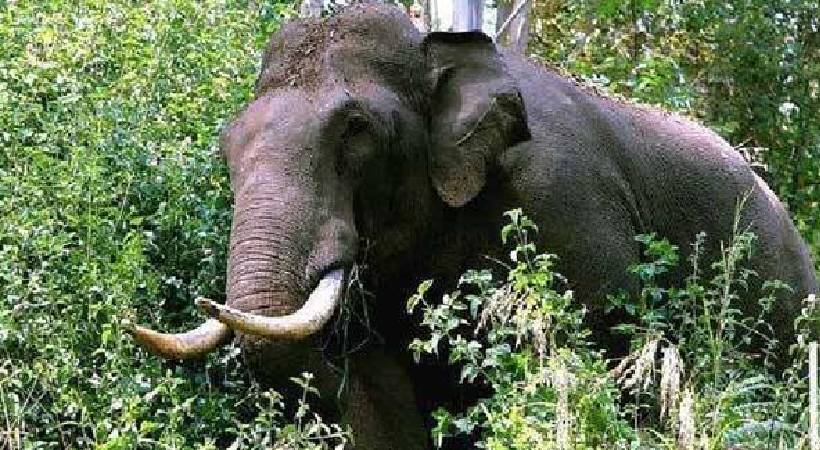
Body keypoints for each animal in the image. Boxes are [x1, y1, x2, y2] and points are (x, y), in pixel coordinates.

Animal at [130, 2, 818, 449]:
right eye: (226, 145)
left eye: (357, 129)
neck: (436, 50)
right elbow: (380, 400)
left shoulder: (569, 204)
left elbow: (615, 359)